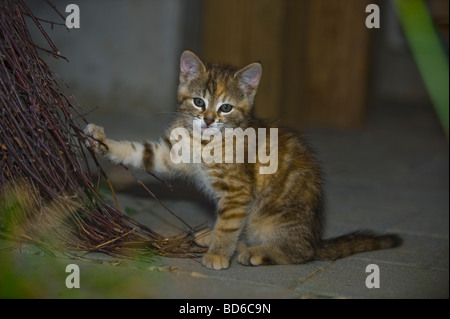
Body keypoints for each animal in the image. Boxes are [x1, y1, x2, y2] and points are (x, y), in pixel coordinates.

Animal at [84, 50, 400, 270]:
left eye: (226, 108)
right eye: (198, 102)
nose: (208, 120)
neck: (204, 142)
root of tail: (315, 237)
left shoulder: (238, 192)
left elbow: (228, 226)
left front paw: (218, 254)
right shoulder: (172, 154)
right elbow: (141, 152)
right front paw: (102, 141)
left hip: (271, 221)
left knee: (299, 254)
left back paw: (256, 251)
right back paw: (212, 236)